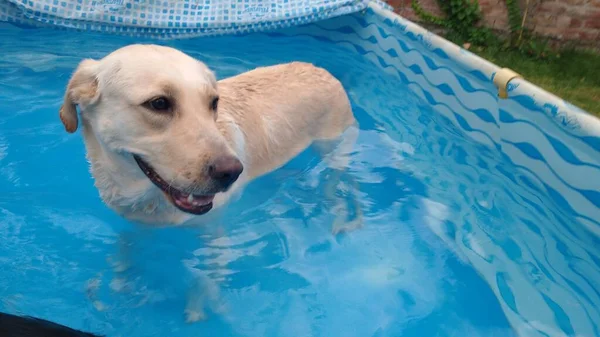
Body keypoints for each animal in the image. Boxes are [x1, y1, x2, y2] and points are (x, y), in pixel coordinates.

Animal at [58, 44, 358, 226]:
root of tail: (321, 69)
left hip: (334, 146)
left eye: (214, 102)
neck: (141, 194)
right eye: (159, 103)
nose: (232, 172)